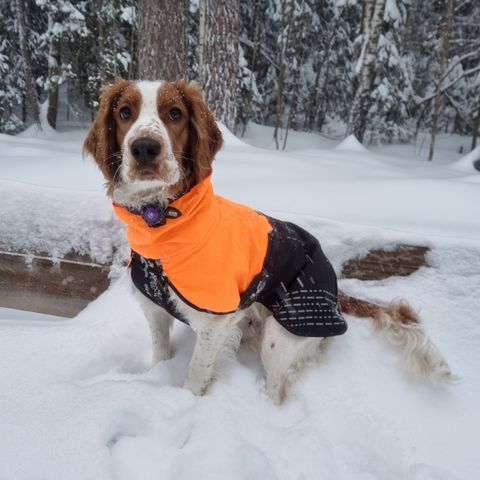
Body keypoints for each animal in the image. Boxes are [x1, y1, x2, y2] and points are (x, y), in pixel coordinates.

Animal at [84, 80, 456, 404]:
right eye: (125, 112)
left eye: (174, 113)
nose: (145, 148)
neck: (163, 222)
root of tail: (335, 292)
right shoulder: (155, 308)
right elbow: (160, 352)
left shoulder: (215, 320)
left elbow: (196, 372)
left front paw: (184, 401)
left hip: (284, 332)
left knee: (278, 389)